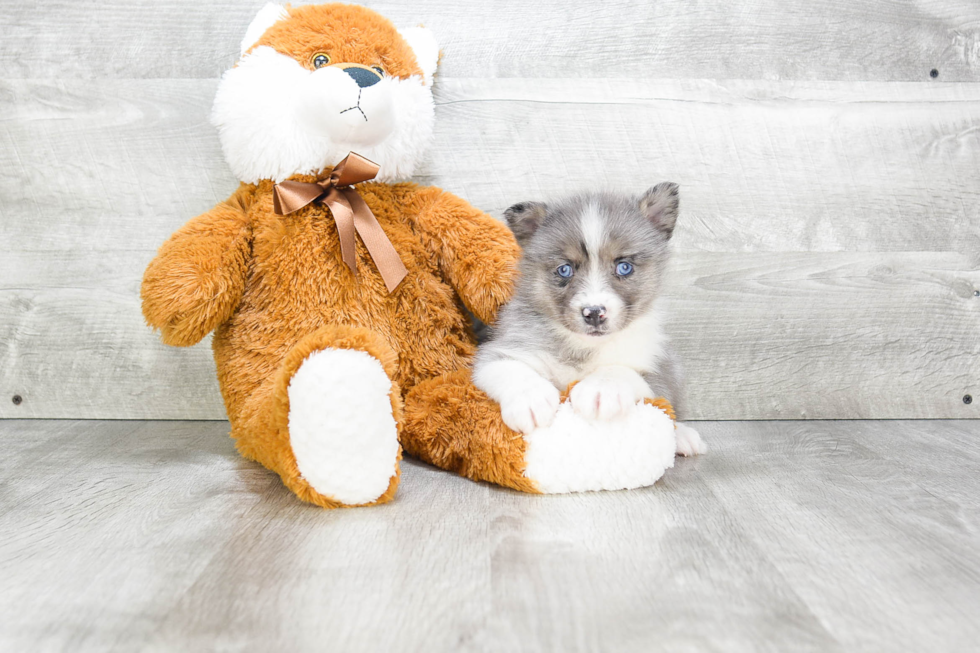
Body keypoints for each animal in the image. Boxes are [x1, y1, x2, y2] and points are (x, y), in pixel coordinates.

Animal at [472, 183, 704, 456]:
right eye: (565, 269)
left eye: (624, 267)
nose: (594, 313)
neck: (584, 348)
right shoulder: (502, 349)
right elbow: (508, 367)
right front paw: (530, 399)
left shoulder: (658, 369)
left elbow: (623, 371)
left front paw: (600, 389)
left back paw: (684, 437)